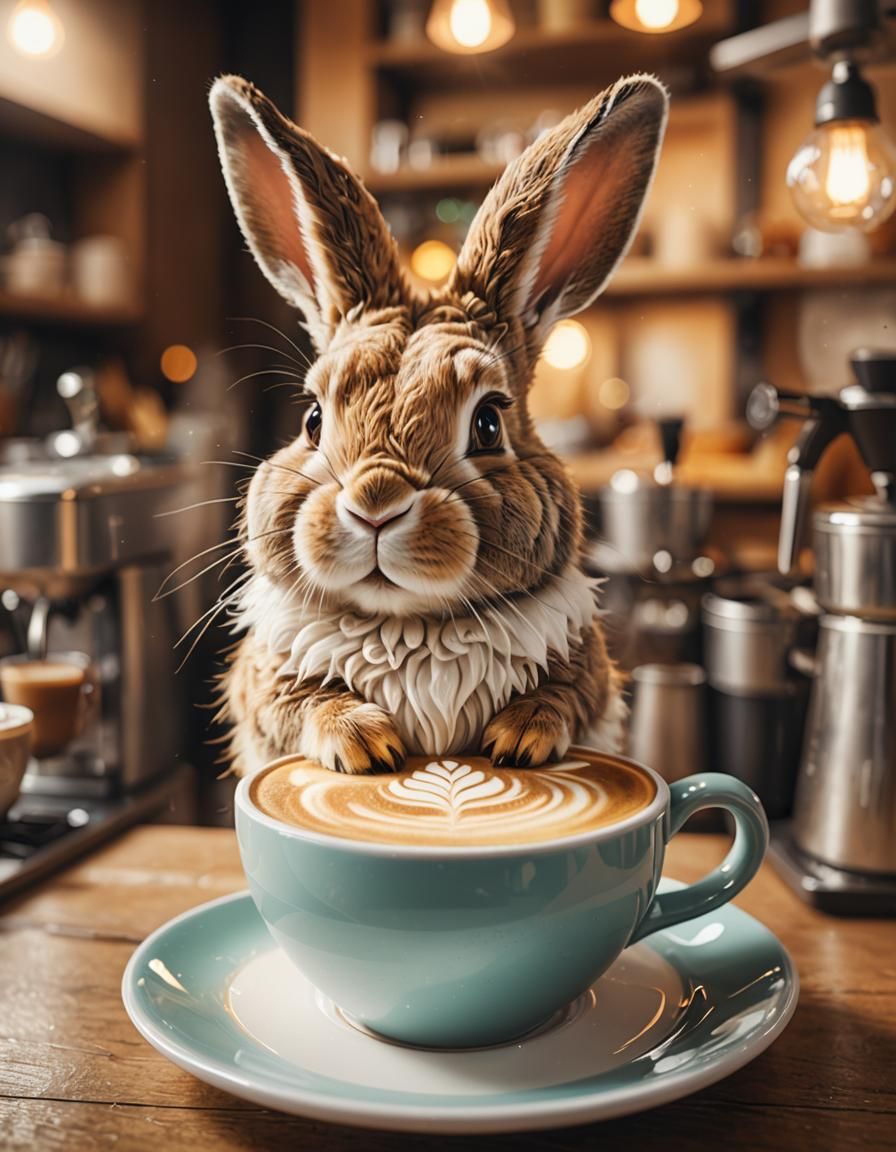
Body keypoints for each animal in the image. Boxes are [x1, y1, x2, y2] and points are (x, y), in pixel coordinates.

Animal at [209, 72, 668, 776]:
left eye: (488, 424)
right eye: (312, 418)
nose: (376, 502)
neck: (409, 626)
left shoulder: (589, 674)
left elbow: (567, 694)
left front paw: (518, 739)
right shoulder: (262, 685)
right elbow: (297, 700)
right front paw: (365, 745)